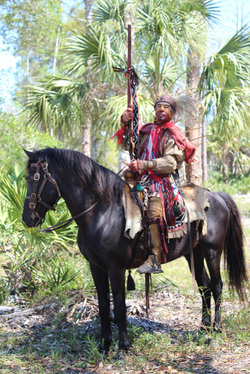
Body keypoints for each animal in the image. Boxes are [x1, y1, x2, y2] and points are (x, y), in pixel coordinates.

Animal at [22, 148, 248, 354]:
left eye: (35, 178)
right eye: (26, 178)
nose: (27, 218)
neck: (102, 211)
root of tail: (216, 196)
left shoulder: (116, 268)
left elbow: (120, 308)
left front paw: (123, 347)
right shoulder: (96, 267)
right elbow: (103, 306)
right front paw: (105, 345)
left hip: (212, 252)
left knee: (217, 286)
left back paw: (216, 329)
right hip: (194, 254)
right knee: (205, 287)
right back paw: (204, 327)